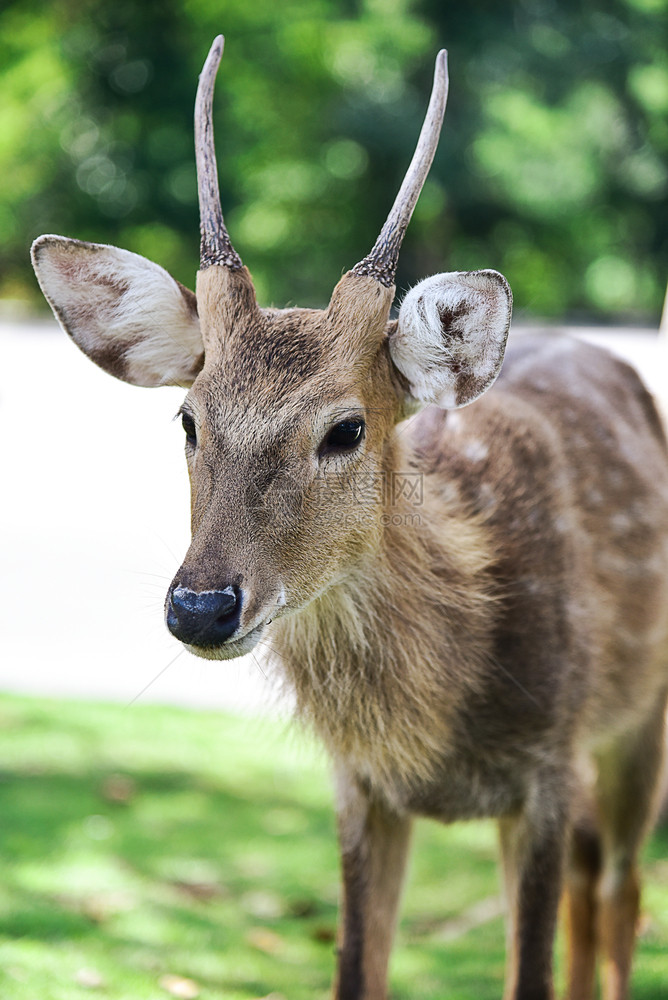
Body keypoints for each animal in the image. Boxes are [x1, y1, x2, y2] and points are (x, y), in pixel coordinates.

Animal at [28, 33, 668, 1000]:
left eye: (347, 427)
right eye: (188, 419)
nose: (202, 607)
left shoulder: (549, 766)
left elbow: (529, 970)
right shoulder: (358, 786)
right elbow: (356, 970)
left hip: (640, 717)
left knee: (622, 887)